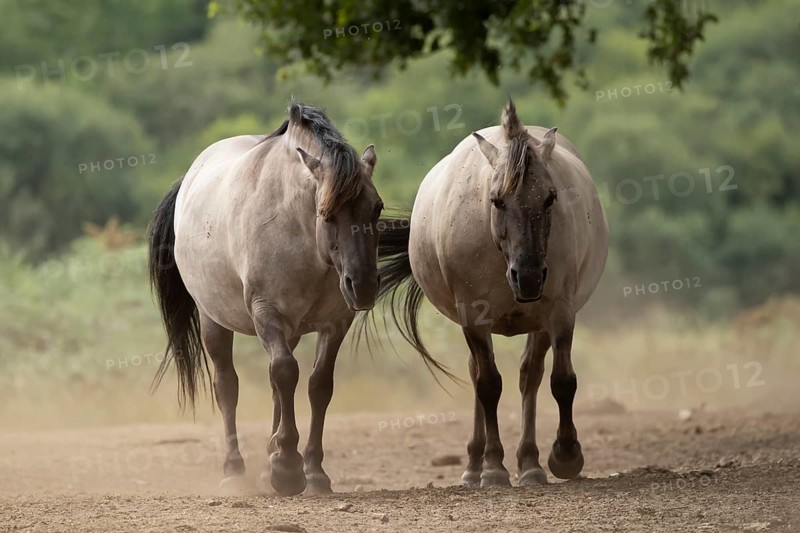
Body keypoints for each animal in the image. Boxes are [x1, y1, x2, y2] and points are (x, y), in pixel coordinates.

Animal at [147, 101, 385, 496]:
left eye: (377, 208)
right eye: (325, 212)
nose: (363, 286)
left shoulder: (335, 323)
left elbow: (318, 385)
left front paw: (313, 471)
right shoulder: (267, 314)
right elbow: (285, 372)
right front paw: (287, 468)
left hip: (290, 330)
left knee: (278, 386)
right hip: (214, 321)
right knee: (228, 386)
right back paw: (234, 470)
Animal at [370, 101, 608, 487]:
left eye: (550, 198)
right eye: (496, 201)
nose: (528, 278)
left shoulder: (559, 312)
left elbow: (562, 381)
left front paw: (566, 456)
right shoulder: (474, 316)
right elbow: (488, 385)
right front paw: (494, 467)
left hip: (539, 324)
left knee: (530, 377)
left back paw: (530, 463)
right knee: (479, 376)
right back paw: (474, 466)